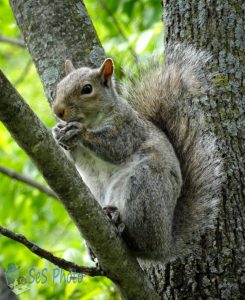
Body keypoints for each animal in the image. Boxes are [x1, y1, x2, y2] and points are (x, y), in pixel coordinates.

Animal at [52, 43, 223, 262]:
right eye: (58, 87)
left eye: (87, 89)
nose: (58, 111)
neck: (93, 120)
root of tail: (165, 245)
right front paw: (58, 133)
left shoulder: (127, 128)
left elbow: (116, 147)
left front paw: (80, 132)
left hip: (144, 189)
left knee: (141, 242)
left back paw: (121, 226)